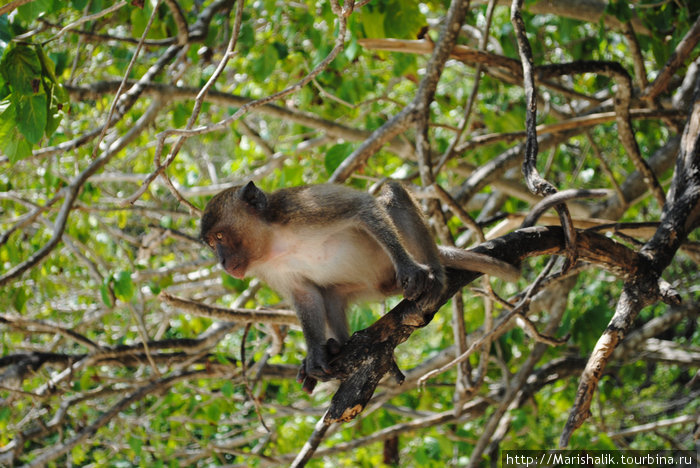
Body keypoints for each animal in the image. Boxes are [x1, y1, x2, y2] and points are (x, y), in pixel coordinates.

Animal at [200, 180, 516, 392]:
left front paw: (411, 269)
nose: (222, 262)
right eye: (212, 243)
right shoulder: (270, 268)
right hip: (370, 287)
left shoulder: (303, 210)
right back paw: (339, 347)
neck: (273, 241)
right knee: (332, 296)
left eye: (220, 236)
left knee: (392, 192)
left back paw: (434, 274)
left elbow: (362, 207)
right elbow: (306, 294)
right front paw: (315, 355)